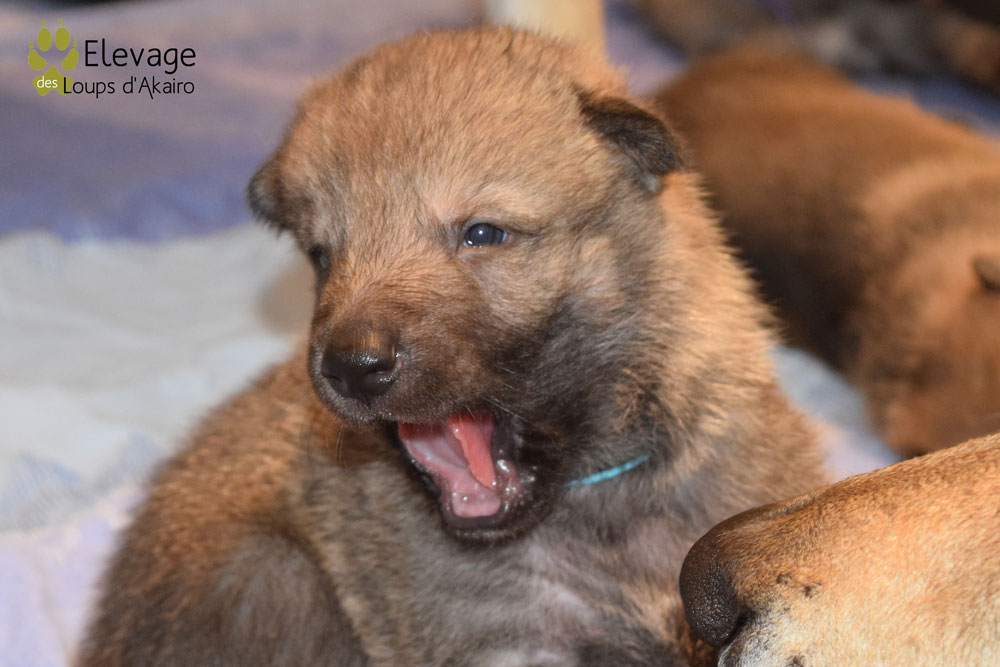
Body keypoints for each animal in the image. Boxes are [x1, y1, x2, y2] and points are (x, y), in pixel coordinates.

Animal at [78, 29, 825, 666]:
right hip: (270, 577)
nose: (350, 365)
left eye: (483, 233)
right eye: (321, 255)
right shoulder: (499, 639)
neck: (601, 496)